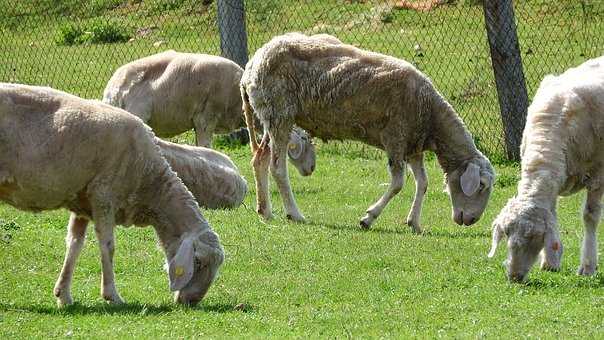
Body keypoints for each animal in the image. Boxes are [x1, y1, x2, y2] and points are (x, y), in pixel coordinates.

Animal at [0, 83, 224, 306]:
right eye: (198, 262)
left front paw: (63, 295)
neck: (149, 182)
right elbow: (108, 246)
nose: (191, 302)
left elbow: (74, 244)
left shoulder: (81, 201)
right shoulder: (103, 195)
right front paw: (112, 295)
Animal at [241, 33, 496, 232]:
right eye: (481, 185)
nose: (472, 220)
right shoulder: (395, 137)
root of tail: (251, 67)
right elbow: (398, 183)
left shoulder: (413, 145)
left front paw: (414, 222)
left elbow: (422, 183)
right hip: (280, 113)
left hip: (271, 117)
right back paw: (294, 213)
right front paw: (368, 218)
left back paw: (265, 211)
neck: (432, 117)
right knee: (277, 167)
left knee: (260, 159)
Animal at [486, 55, 604, 282]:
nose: (514, 277)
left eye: (535, 237)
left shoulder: (598, 175)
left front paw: (588, 266)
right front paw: (550, 262)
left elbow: (590, 216)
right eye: (507, 234)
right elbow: (553, 215)